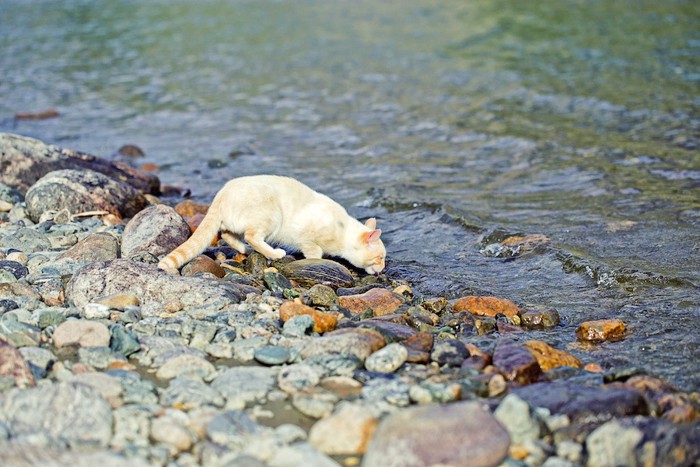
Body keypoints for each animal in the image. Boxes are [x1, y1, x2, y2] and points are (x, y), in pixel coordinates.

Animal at [159, 175, 386, 274]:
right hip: (271, 216)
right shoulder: (309, 240)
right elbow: (315, 254)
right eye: (380, 258)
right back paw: (274, 253)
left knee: (226, 234)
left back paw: (244, 249)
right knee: (251, 236)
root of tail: (221, 194)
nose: (383, 269)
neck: (343, 231)